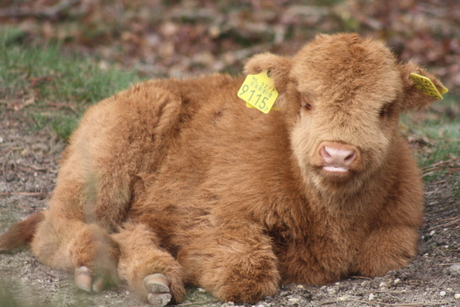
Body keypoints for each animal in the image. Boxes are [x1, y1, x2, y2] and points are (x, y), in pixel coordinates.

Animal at [0, 33, 446, 307]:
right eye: (306, 100)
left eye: (385, 109)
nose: (338, 153)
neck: (333, 216)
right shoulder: (210, 218)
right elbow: (245, 270)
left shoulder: (396, 232)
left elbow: (382, 254)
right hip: (103, 164)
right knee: (59, 229)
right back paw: (100, 266)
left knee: (127, 227)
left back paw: (155, 279)